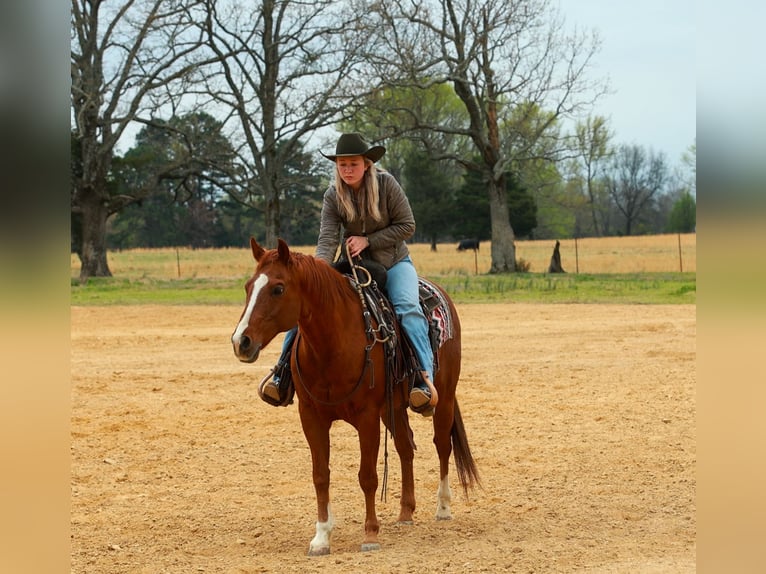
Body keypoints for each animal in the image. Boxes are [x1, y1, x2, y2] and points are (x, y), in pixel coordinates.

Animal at [231, 238, 480, 556]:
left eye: (278, 288)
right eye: (248, 286)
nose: (241, 341)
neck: (332, 346)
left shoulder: (367, 417)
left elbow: (367, 476)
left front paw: (371, 534)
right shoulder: (311, 416)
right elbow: (320, 475)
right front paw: (321, 537)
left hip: (444, 397)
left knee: (442, 445)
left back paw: (443, 507)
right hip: (393, 408)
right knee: (405, 447)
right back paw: (405, 512)